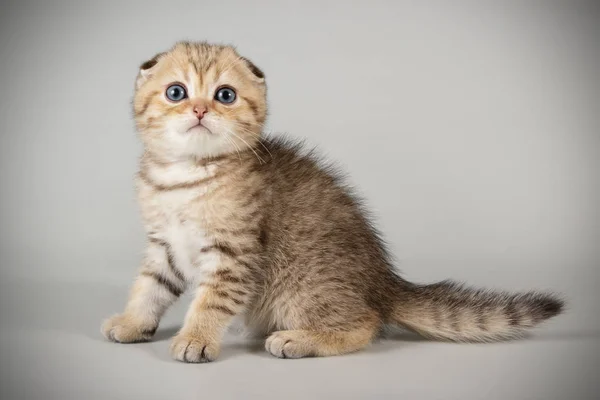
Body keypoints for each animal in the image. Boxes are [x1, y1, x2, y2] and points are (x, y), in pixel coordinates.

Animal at [101, 41, 564, 362]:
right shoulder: (165, 245)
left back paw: (299, 338)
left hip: (303, 284)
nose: (199, 109)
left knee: (365, 324)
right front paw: (133, 322)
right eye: (176, 92)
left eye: (225, 95)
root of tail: (385, 284)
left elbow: (212, 299)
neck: (186, 176)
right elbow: (150, 287)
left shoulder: (235, 252)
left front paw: (197, 337)